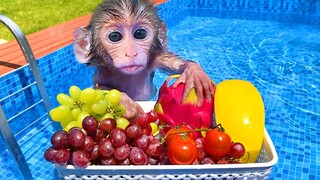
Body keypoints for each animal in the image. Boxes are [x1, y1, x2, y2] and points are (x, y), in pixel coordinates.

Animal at [73, 0, 214, 119]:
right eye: (115, 36)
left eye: (140, 34)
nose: (131, 53)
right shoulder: (103, 71)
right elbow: (98, 88)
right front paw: (124, 101)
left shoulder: (154, 59)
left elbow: (169, 62)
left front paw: (194, 72)